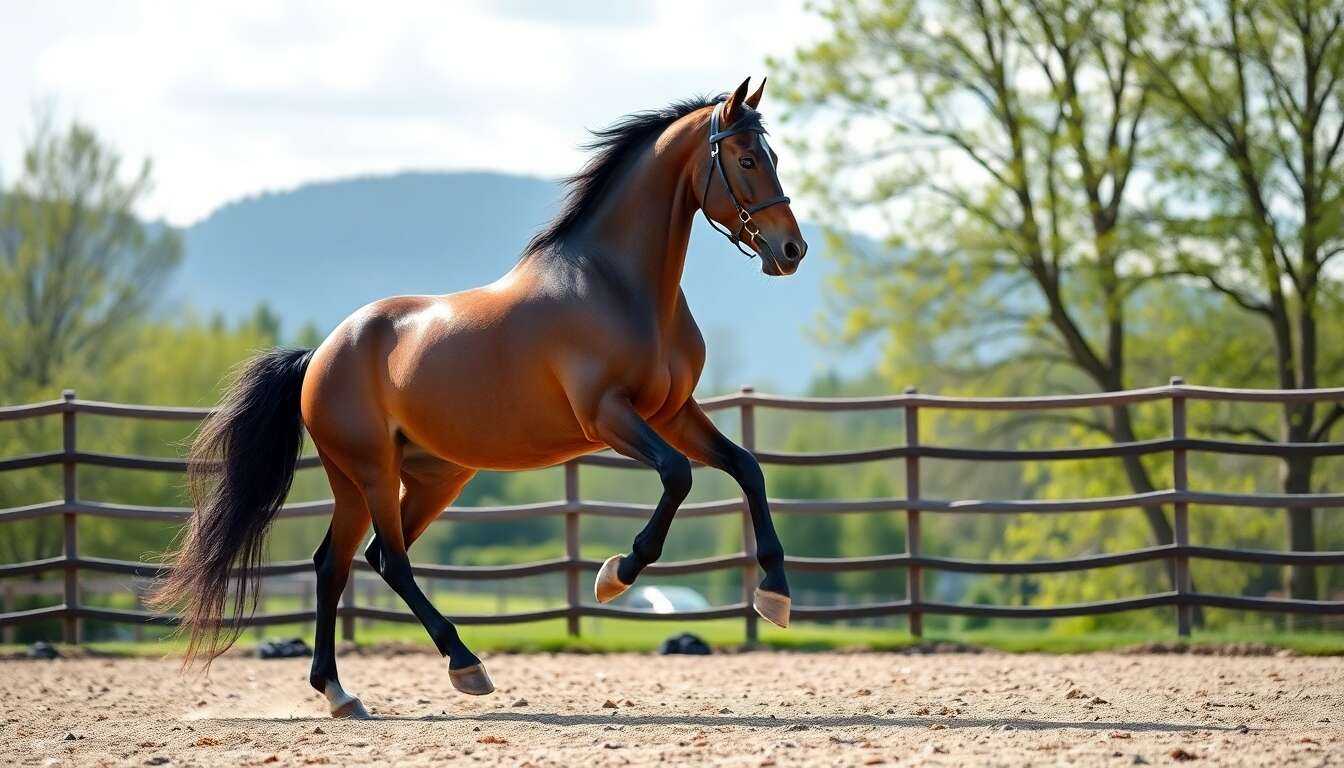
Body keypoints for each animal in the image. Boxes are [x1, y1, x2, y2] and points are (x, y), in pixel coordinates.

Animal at [150, 77, 808, 719]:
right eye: (747, 159)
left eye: (773, 156)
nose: (792, 250)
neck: (618, 287)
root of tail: (321, 353)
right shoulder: (609, 417)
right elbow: (677, 476)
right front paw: (615, 575)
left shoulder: (672, 413)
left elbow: (746, 468)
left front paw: (774, 594)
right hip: (371, 471)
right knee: (388, 560)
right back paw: (463, 665)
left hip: (422, 478)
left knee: (339, 562)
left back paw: (339, 691)